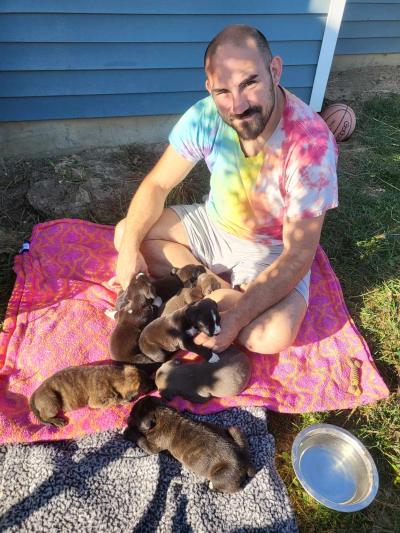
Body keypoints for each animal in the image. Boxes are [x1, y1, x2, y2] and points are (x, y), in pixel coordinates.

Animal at [122, 396, 256, 492]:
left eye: (133, 414)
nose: (127, 417)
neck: (163, 414)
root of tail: (245, 461)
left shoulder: (153, 447)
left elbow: (140, 439)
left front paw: (127, 431)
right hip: (233, 429)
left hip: (221, 475)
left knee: (231, 488)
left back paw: (212, 486)